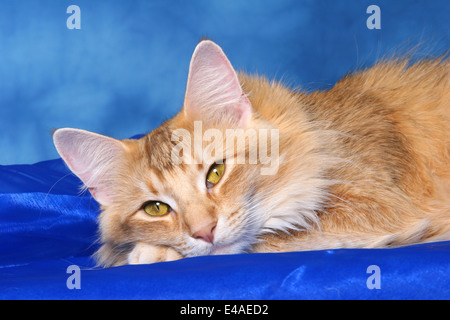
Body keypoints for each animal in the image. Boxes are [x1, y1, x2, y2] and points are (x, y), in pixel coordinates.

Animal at [53, 38, 450, 266]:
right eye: (155, 209)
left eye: (215, 172)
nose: (204, 232)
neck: (319, 131)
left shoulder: (381, 208)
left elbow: (268, 239)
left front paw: (151, 253)